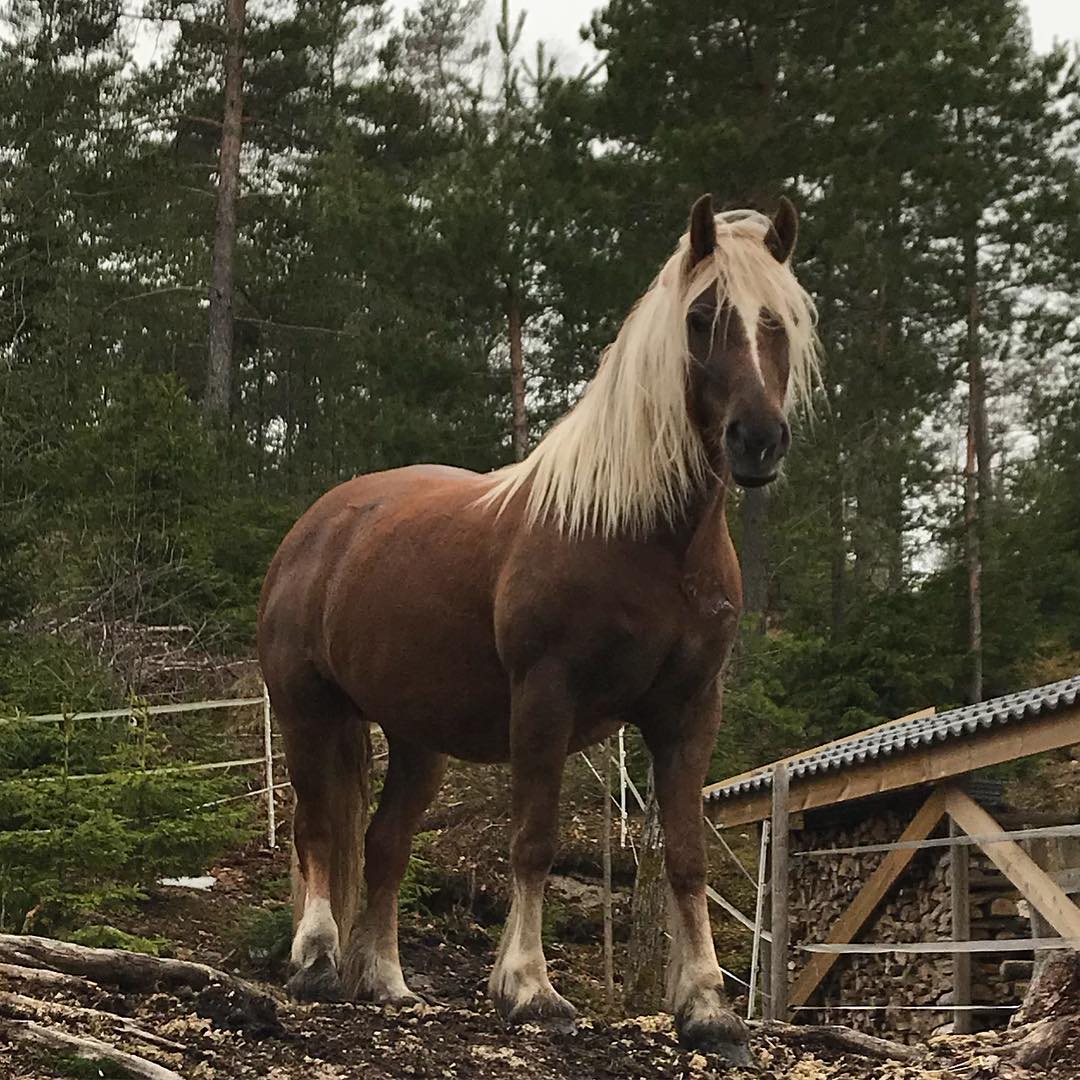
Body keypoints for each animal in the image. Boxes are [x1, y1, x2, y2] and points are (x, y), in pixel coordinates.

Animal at [259, 196, 816, 1062]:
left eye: (781, 321)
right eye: (701, 318)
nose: (756, 440)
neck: (640, 534)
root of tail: (317, 527)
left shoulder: (689, 709)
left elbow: (686, 855)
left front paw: (708, 1010)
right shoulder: (545, 697)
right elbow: (533, 839)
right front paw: (529, 990)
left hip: (417, 739)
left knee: (383, 844)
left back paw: (384, 982)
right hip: (307, 711)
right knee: (317, 831)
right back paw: (316, 962)